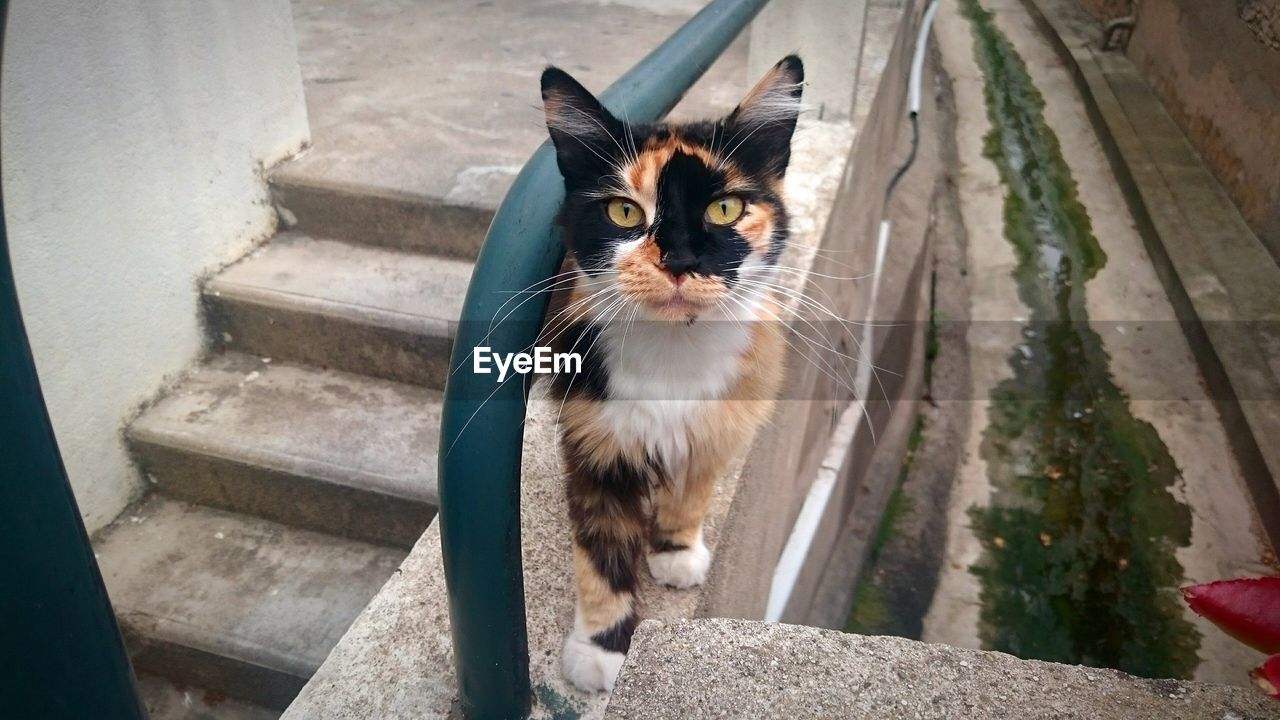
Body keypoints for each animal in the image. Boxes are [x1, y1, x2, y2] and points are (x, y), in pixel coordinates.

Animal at [542, 56, 803, 691]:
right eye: (624, 212)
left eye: (724, 208)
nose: (681, 260)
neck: (674, 350)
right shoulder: (594, 443)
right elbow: (601, 555)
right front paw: (601, 651)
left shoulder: (717, 425)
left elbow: (691, 493)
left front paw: (677, 554)